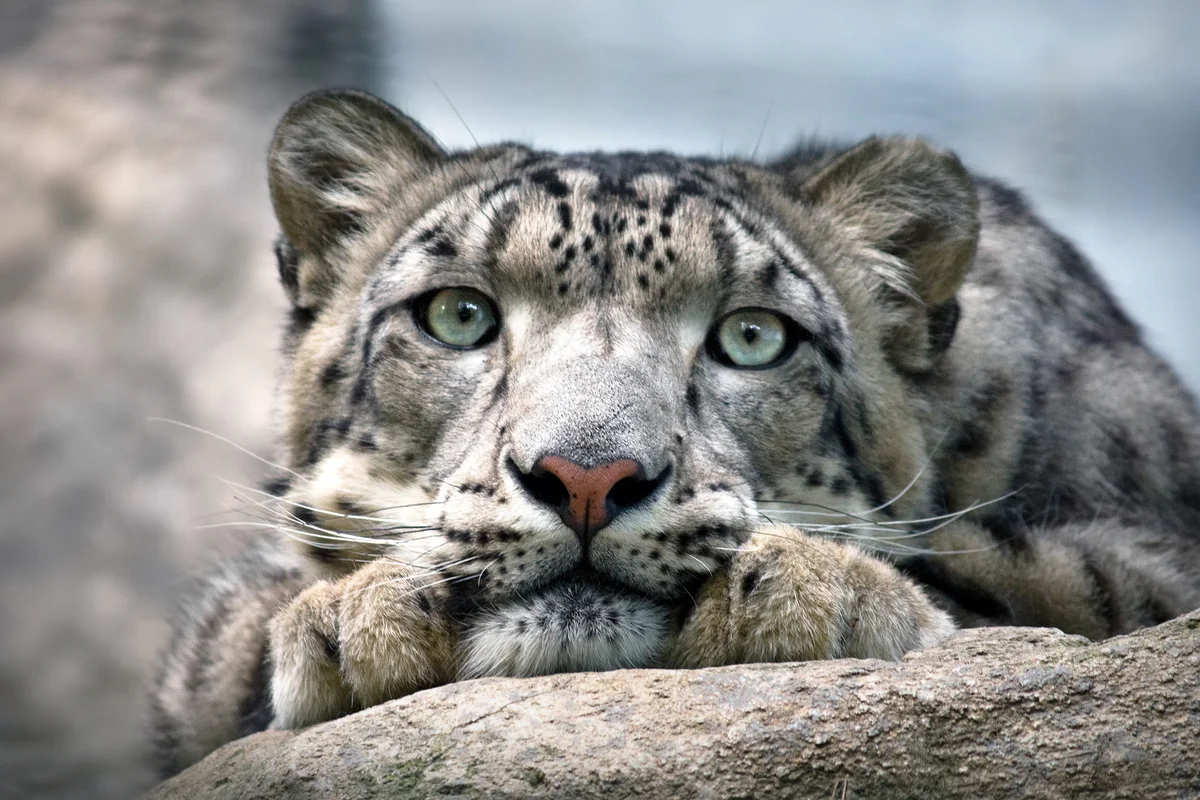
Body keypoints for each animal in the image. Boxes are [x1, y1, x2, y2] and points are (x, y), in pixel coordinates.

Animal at [150, 88, 1200, 777]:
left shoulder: (1153, 566)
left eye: (753, 336)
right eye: (457, 315)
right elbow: (226, 643)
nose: (585, 476)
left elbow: (1029, 583)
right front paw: (356, 618)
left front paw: (816, 592)